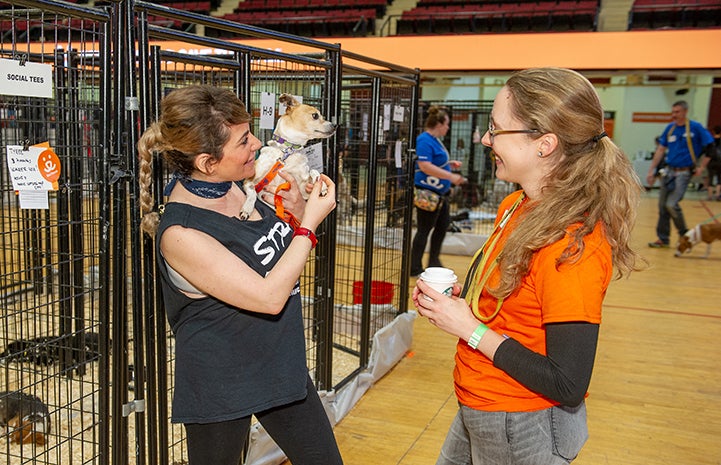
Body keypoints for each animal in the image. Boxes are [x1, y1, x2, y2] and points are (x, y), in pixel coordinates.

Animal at [239, 93, 334, 227]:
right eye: (315, 115)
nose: (335, 126)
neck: (288, 151)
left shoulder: (302, 188)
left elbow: (313, 171)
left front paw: (323, 185)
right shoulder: (249, 180)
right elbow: (252, 193)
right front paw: (247, 209)